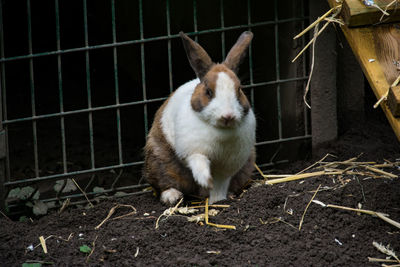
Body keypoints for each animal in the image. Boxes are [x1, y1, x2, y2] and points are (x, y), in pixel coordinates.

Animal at [144, 31, 256, 206]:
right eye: (208, 92)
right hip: (158, 159)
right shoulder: (193, 151)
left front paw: (218, 199)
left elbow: (221, 183)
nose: (228, 116)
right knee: (164, 181)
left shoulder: (229, 165)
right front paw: (206, 182)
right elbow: (199, 163)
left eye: (239, 90)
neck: (221, 130)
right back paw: (172, 197)